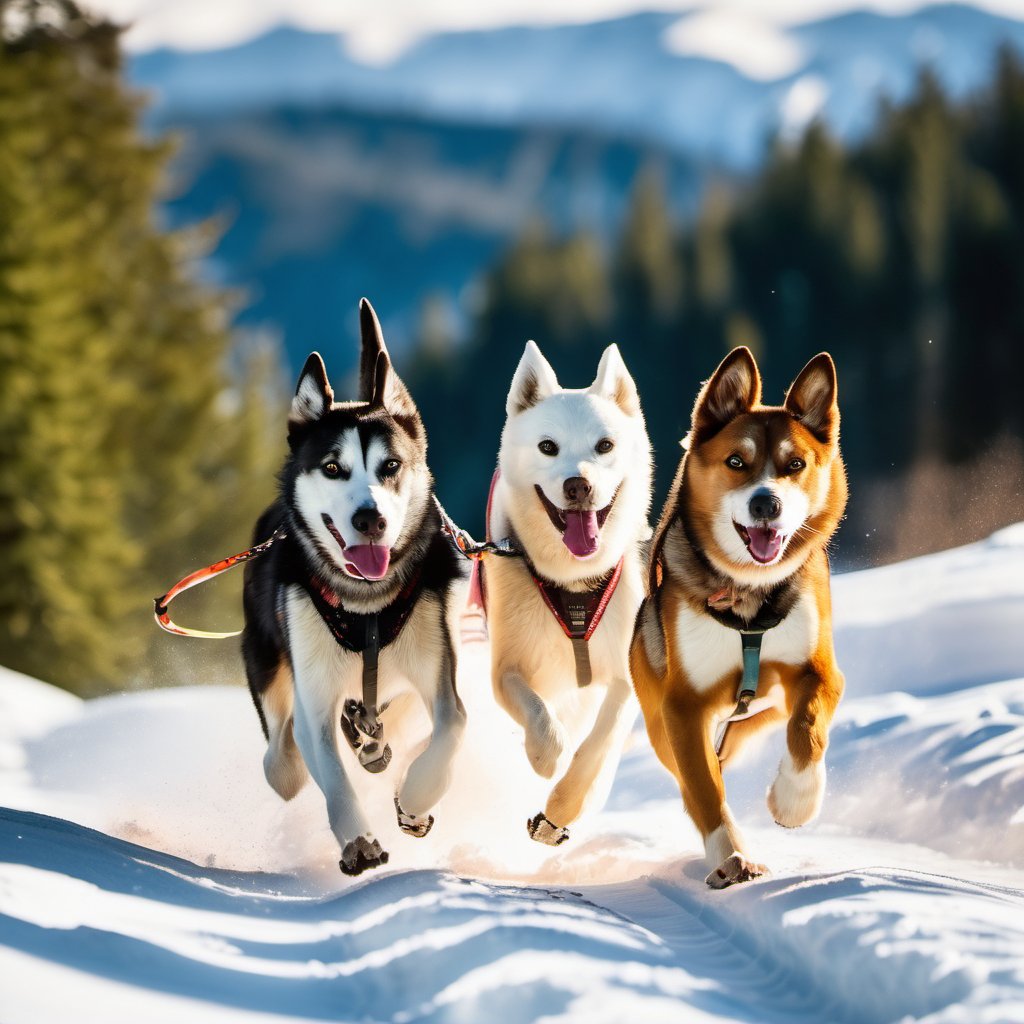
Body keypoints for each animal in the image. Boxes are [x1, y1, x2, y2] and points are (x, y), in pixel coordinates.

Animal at [630, 346, 847, 888]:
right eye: (736, 462)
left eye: (796, 464)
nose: (766, 502)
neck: (751, 598)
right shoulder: (683, 707)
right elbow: (706, 790)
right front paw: (730, 856)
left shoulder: (821, 670)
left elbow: (808, 728)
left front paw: (794, 801)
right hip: (662, 724)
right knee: (694, 778)